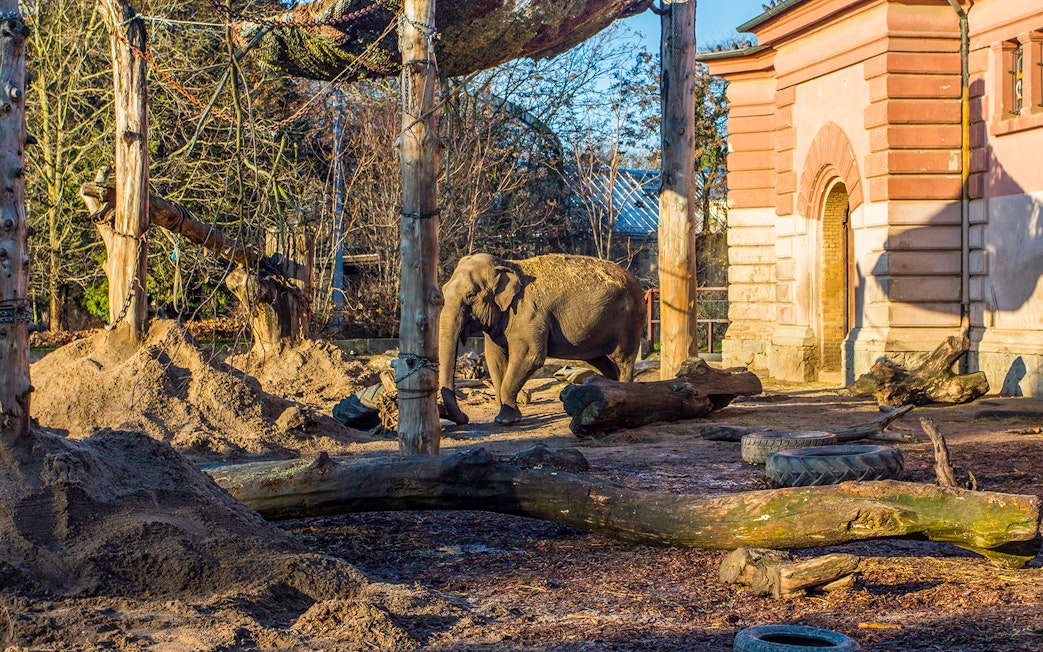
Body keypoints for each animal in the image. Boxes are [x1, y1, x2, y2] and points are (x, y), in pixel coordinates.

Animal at [438, 253, 646, 426]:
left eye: (471, 295)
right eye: (443, 289)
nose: (465, 418)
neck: (506, 264)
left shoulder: (529, 315)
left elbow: (530, 356)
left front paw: (506, 421)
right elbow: (494, 359)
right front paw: (503, 418)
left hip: (628, 322)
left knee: (623, 361)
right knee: (605, 363)